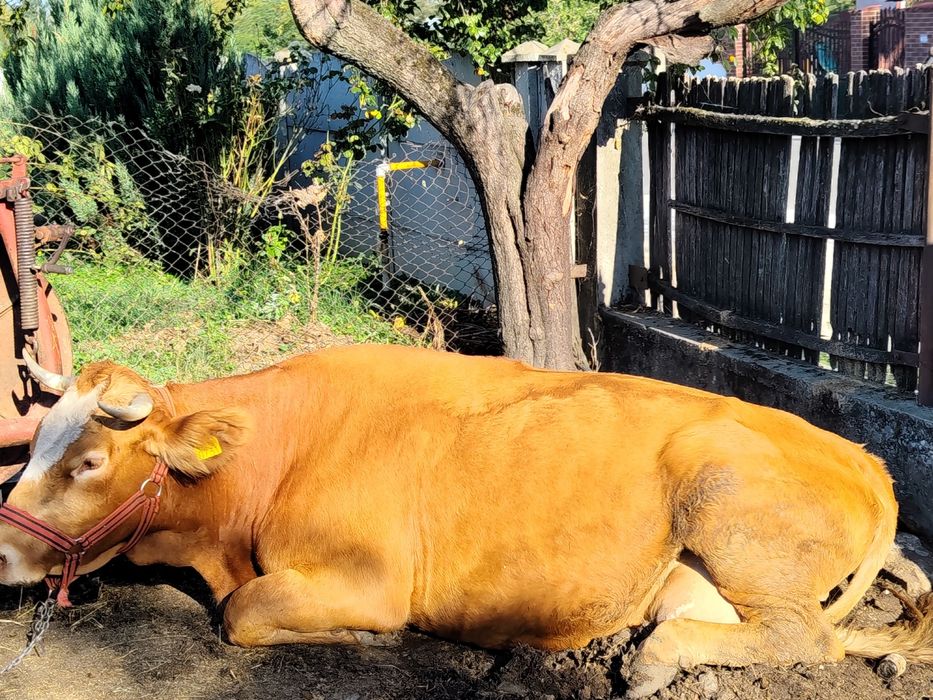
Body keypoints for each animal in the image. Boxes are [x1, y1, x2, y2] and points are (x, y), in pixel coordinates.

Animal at [0, 344, 930, 698]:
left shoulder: (369, 581)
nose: (4, 550)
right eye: (34, 442)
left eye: (87, 462)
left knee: (803, 638)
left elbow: (243, 611)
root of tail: (861, 454)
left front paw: (360, 642)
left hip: (726, 497)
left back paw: (656, 659)